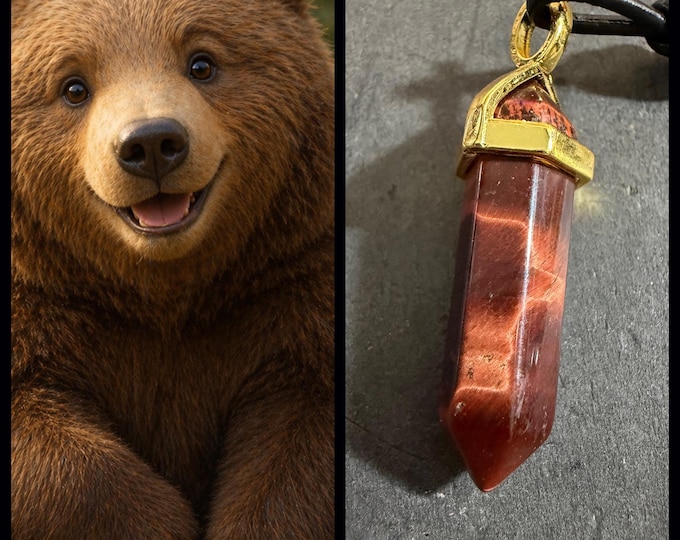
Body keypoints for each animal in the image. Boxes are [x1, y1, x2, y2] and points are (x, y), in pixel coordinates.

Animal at [11, 0, 335, 538]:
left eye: (201, 62)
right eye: (73, 86)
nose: (151, 143)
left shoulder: (286, 285)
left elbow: (294, 454)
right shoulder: (43, 301)